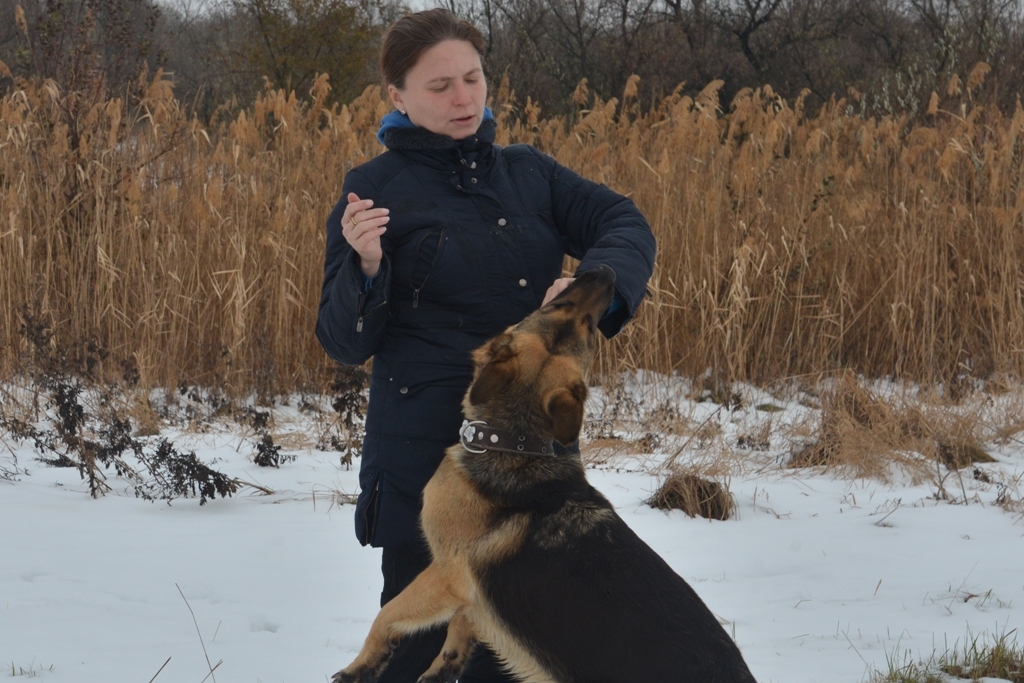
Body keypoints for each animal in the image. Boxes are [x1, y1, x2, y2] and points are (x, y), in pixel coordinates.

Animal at [331, 266, 757, 683]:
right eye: (569, 311)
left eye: (583, 321)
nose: (606, 273)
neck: (513, 443)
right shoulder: (474, 590)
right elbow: (465, 621)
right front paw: (446, 664)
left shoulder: (446, 573)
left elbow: (387, 614)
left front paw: (360, 666)